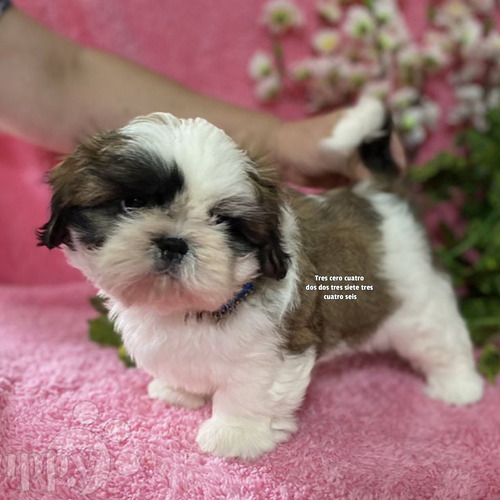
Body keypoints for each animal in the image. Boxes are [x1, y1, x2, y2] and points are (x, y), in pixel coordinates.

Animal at [38, 98, 484, 460]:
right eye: (132, 202)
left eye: (222, 221)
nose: (174, 242)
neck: (188, 307)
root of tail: (380, 194)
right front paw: (180, 391)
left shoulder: (273, 352)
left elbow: (248, 392)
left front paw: (235, 435)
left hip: (418, 304)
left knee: (442, 341)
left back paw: (459, 386)